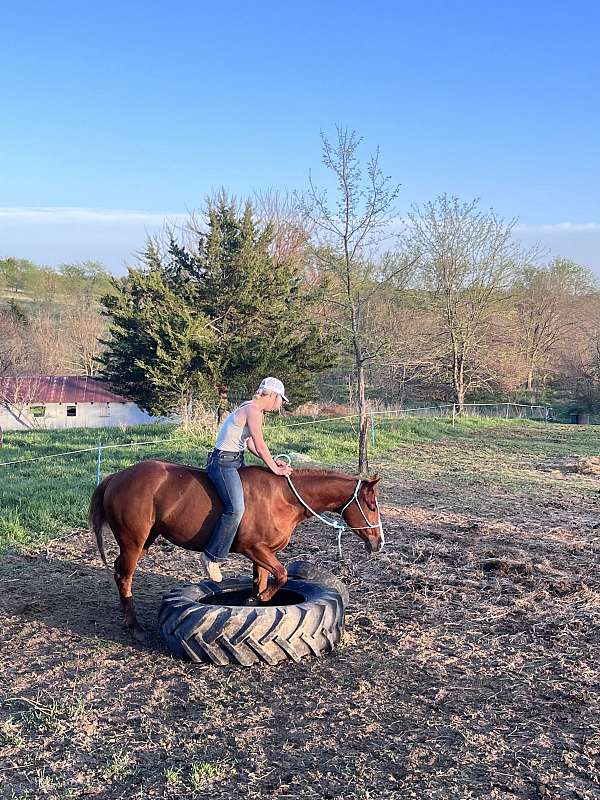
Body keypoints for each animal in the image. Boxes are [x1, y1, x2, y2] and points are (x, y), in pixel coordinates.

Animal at [88, 462, 384, 636]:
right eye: (371, 506)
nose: (378, 542)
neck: (283, 498)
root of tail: (116, 477)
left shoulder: (262, 555)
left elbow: (265, 580)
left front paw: (257, 601)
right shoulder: (253, 548)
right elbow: (282, 575)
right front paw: (261, 599)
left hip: (145, 540)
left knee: (119, 572)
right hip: (133, 542)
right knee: (124, 577)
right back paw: (134, 626)